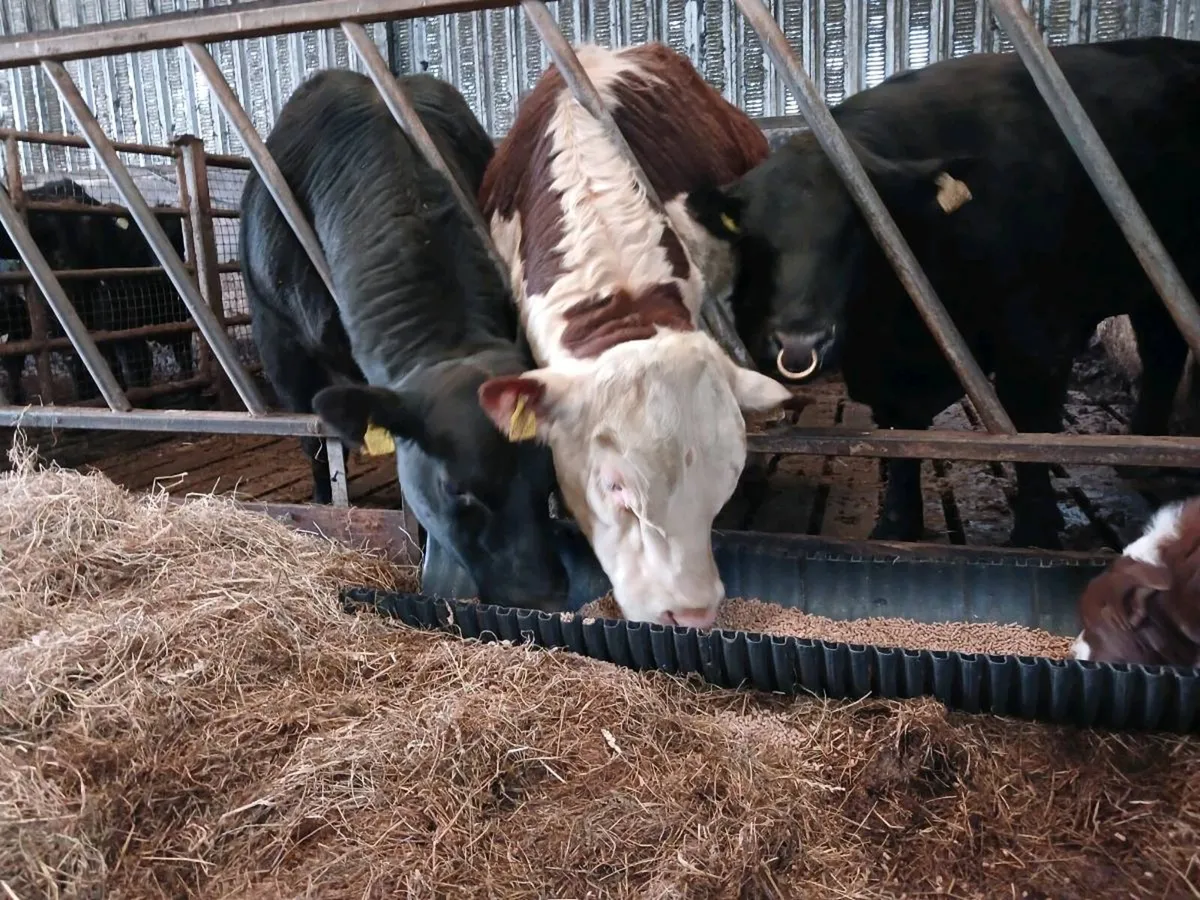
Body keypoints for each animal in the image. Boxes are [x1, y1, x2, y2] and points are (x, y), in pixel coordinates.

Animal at [240, 68, 569, 611]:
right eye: (459, 491)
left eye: (548, 477)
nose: (541, 597)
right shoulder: (277, 340)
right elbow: (313, 438)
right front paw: (323, 502)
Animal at [687, 36, 1200, 550]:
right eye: (752, 237)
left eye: (858, 229)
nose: (800, 343)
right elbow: (901, 431)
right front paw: (897, 523)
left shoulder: (1039, 336)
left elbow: (1030, 422)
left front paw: (1035, 529)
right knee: (1162, 350)